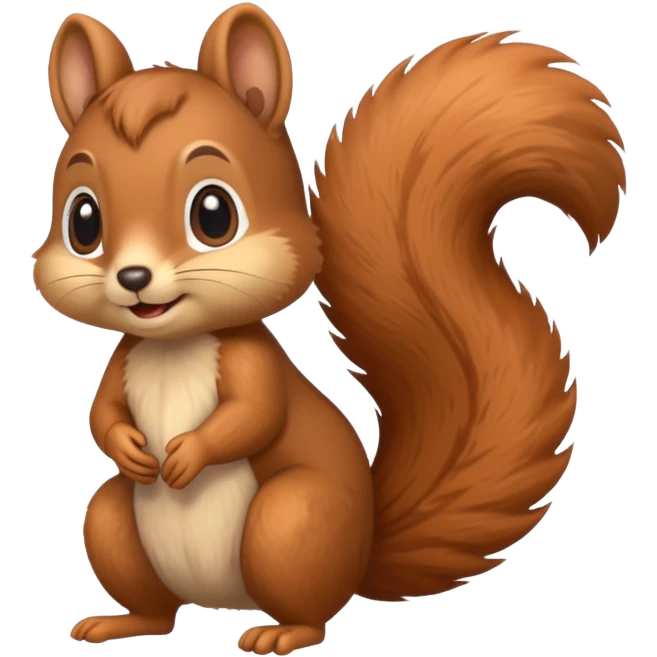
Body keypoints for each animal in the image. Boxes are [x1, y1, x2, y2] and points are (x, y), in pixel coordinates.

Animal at [37, 3, 626, 655]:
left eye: (214, 214)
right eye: (83, 221)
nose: (134, 277)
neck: (174, 346)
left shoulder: (252, 362)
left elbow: (254, 415)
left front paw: (189, 454)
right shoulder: (124, 363)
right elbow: (104, 413)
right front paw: (129, 447)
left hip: (291, 521)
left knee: (310, 607)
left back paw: (281, 633)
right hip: (115, 525)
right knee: (155, 603)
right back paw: (121, 622)